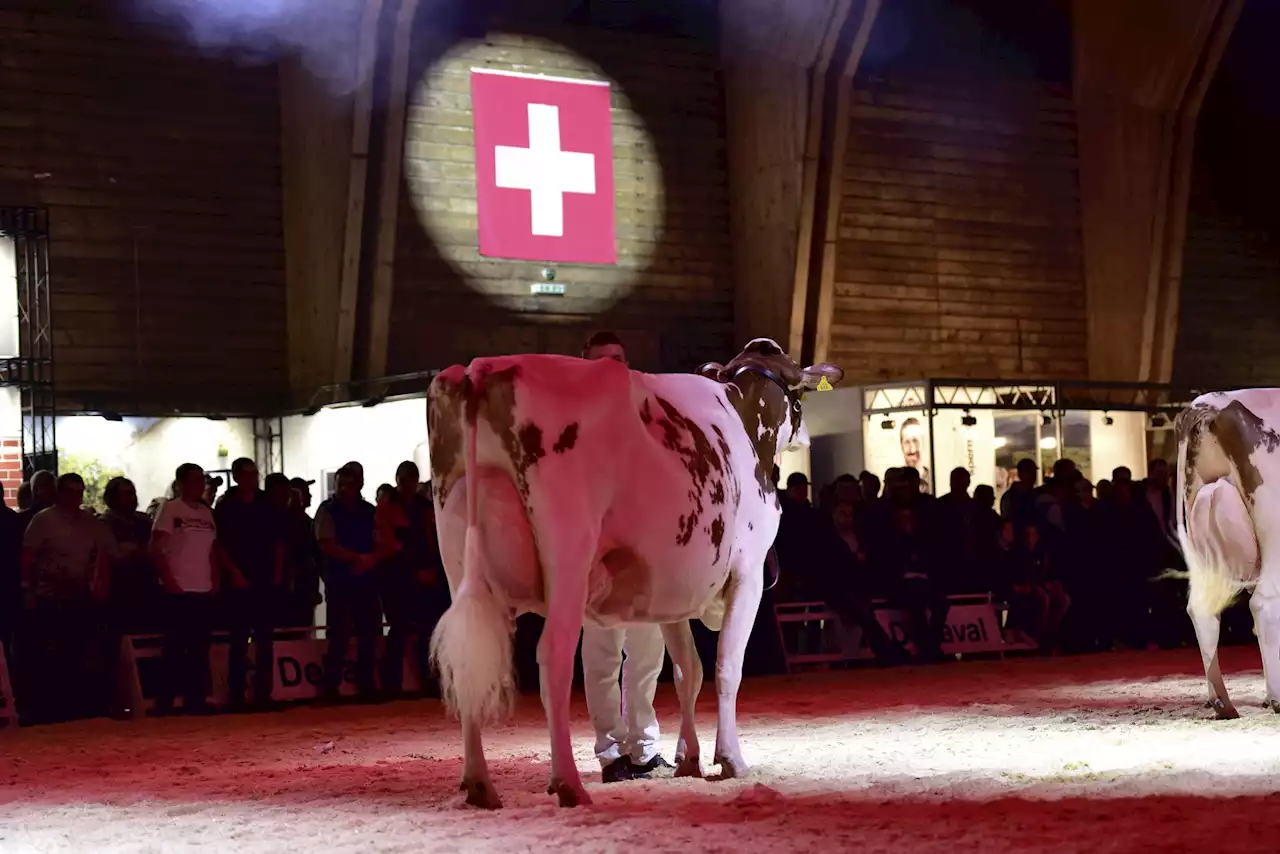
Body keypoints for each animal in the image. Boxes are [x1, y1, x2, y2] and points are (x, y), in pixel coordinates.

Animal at [422, 338, 839, 809]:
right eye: (799, 391)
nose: (805, 437)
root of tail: (482, 368)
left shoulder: (673, 590)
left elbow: (688, 672)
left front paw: (687, 758)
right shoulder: (747, 575)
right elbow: (726, 668)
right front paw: (730, 759)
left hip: (457, 550)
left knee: (467, 661)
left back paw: (479, 783)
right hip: (569, 552)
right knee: (553, 658)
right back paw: (567, 782)